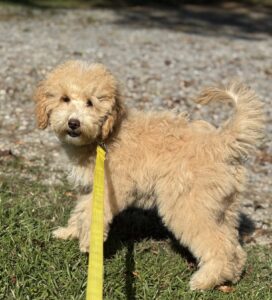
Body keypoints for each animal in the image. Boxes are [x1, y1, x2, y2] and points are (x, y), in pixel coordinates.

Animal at [33, 60, 264, 290]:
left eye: (90, 102)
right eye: (64, 99)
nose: (74, 123)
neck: (105, 136)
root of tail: (221, 142)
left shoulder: (113, 187)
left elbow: (91, 213)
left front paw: (89, 243)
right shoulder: (92, 187)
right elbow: (81, 210)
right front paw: (69, 233)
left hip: (189, 205)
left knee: (218, 246)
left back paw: (204, 280)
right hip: (222, 207)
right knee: (233, 246)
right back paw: (230, 276)